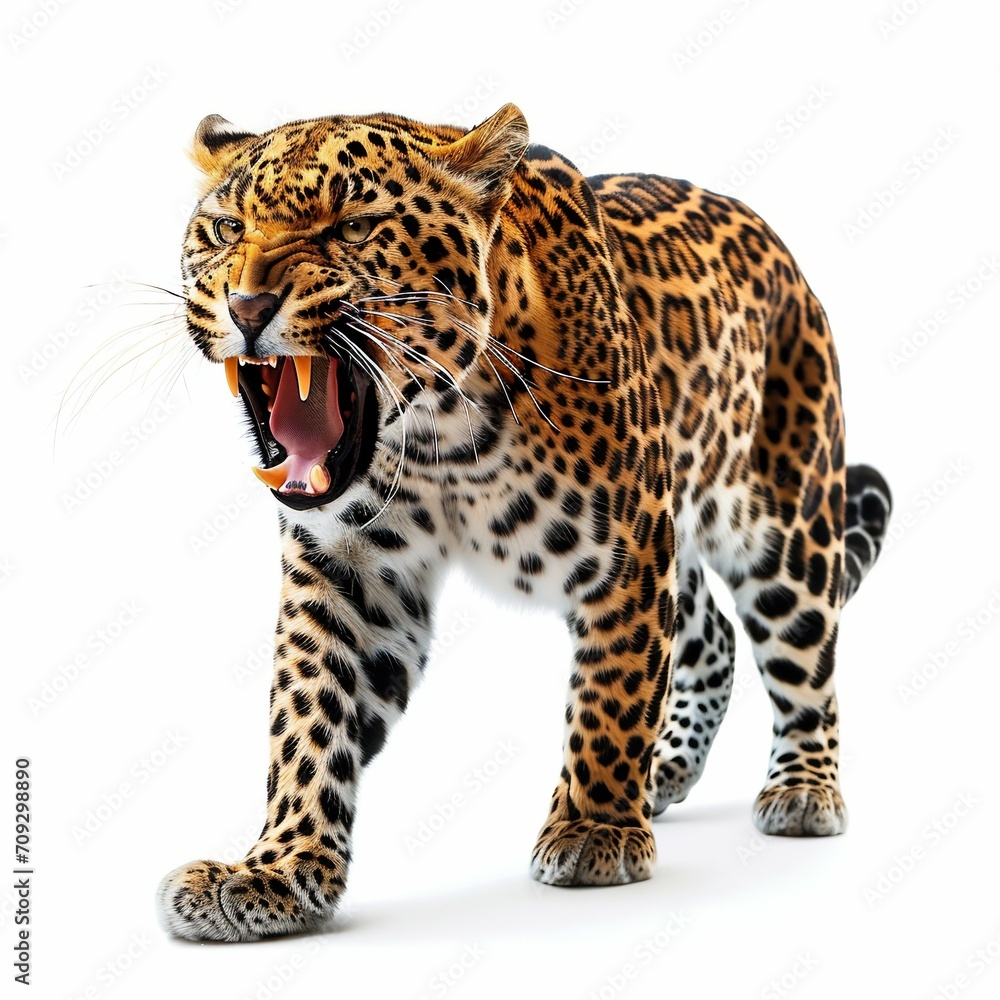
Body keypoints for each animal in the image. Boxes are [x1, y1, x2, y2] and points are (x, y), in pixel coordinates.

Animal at [156, 103, 891, 942]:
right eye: (224, 228)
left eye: (354, 225)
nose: (247, 308)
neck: (438, 439)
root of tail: (779, 250)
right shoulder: (351, 575)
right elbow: (310, 717)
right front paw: (276, 871)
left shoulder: (631, 549)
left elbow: (612, 695)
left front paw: (595, 830)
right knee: (711, 634)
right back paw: (666, 769)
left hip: (783, 516)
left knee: (804, 652)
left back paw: (802, 788)